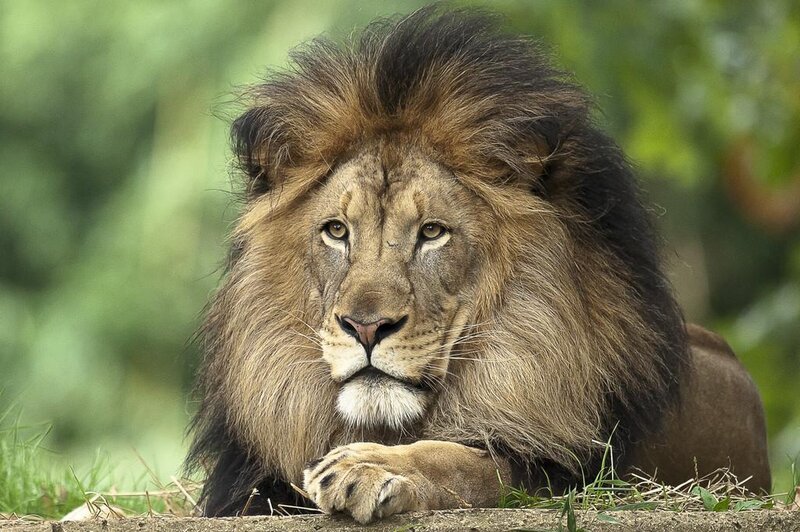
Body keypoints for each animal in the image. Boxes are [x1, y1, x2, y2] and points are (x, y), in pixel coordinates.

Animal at [186, 8, 770, 522]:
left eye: (432, 233)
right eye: (336, 231)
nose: (366, 327)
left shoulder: (563, 472)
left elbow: (464, 461)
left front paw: (368, 467)